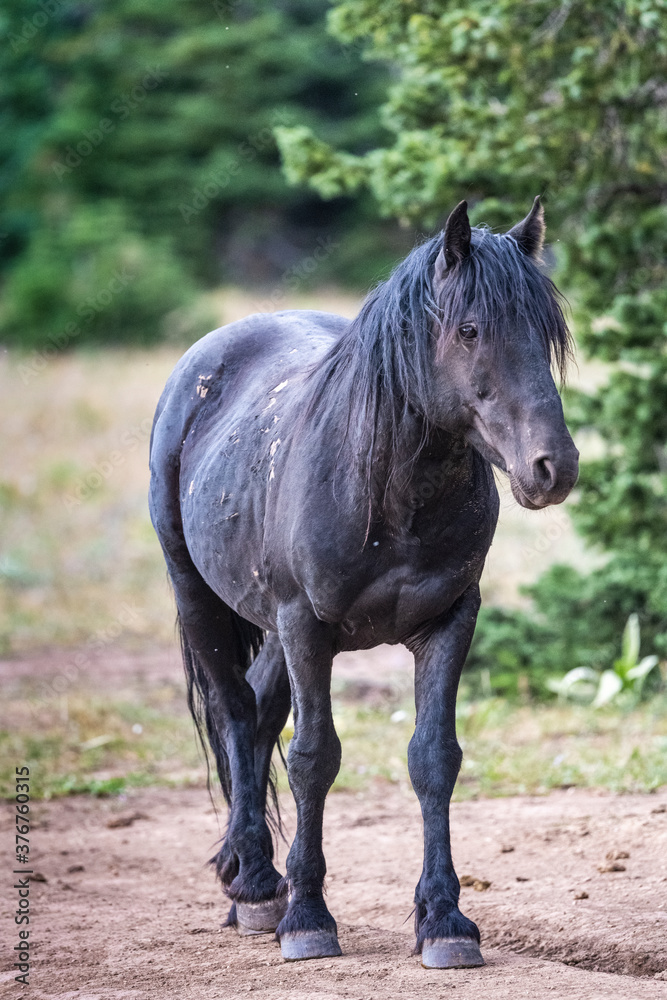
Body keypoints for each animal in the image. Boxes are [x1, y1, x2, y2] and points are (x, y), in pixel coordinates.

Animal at [148, 198, 579, 968]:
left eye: (546, 334)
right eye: (470, 330)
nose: (551, 467)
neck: (386, 490)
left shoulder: (448, 621)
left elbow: (433, 759)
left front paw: (445, 922)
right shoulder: (305, 624)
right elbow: (314, 759)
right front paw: (308, 919)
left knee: (260, 712)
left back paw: (246, 877)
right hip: (199, 595)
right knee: (235, 712)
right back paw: (259, 889)